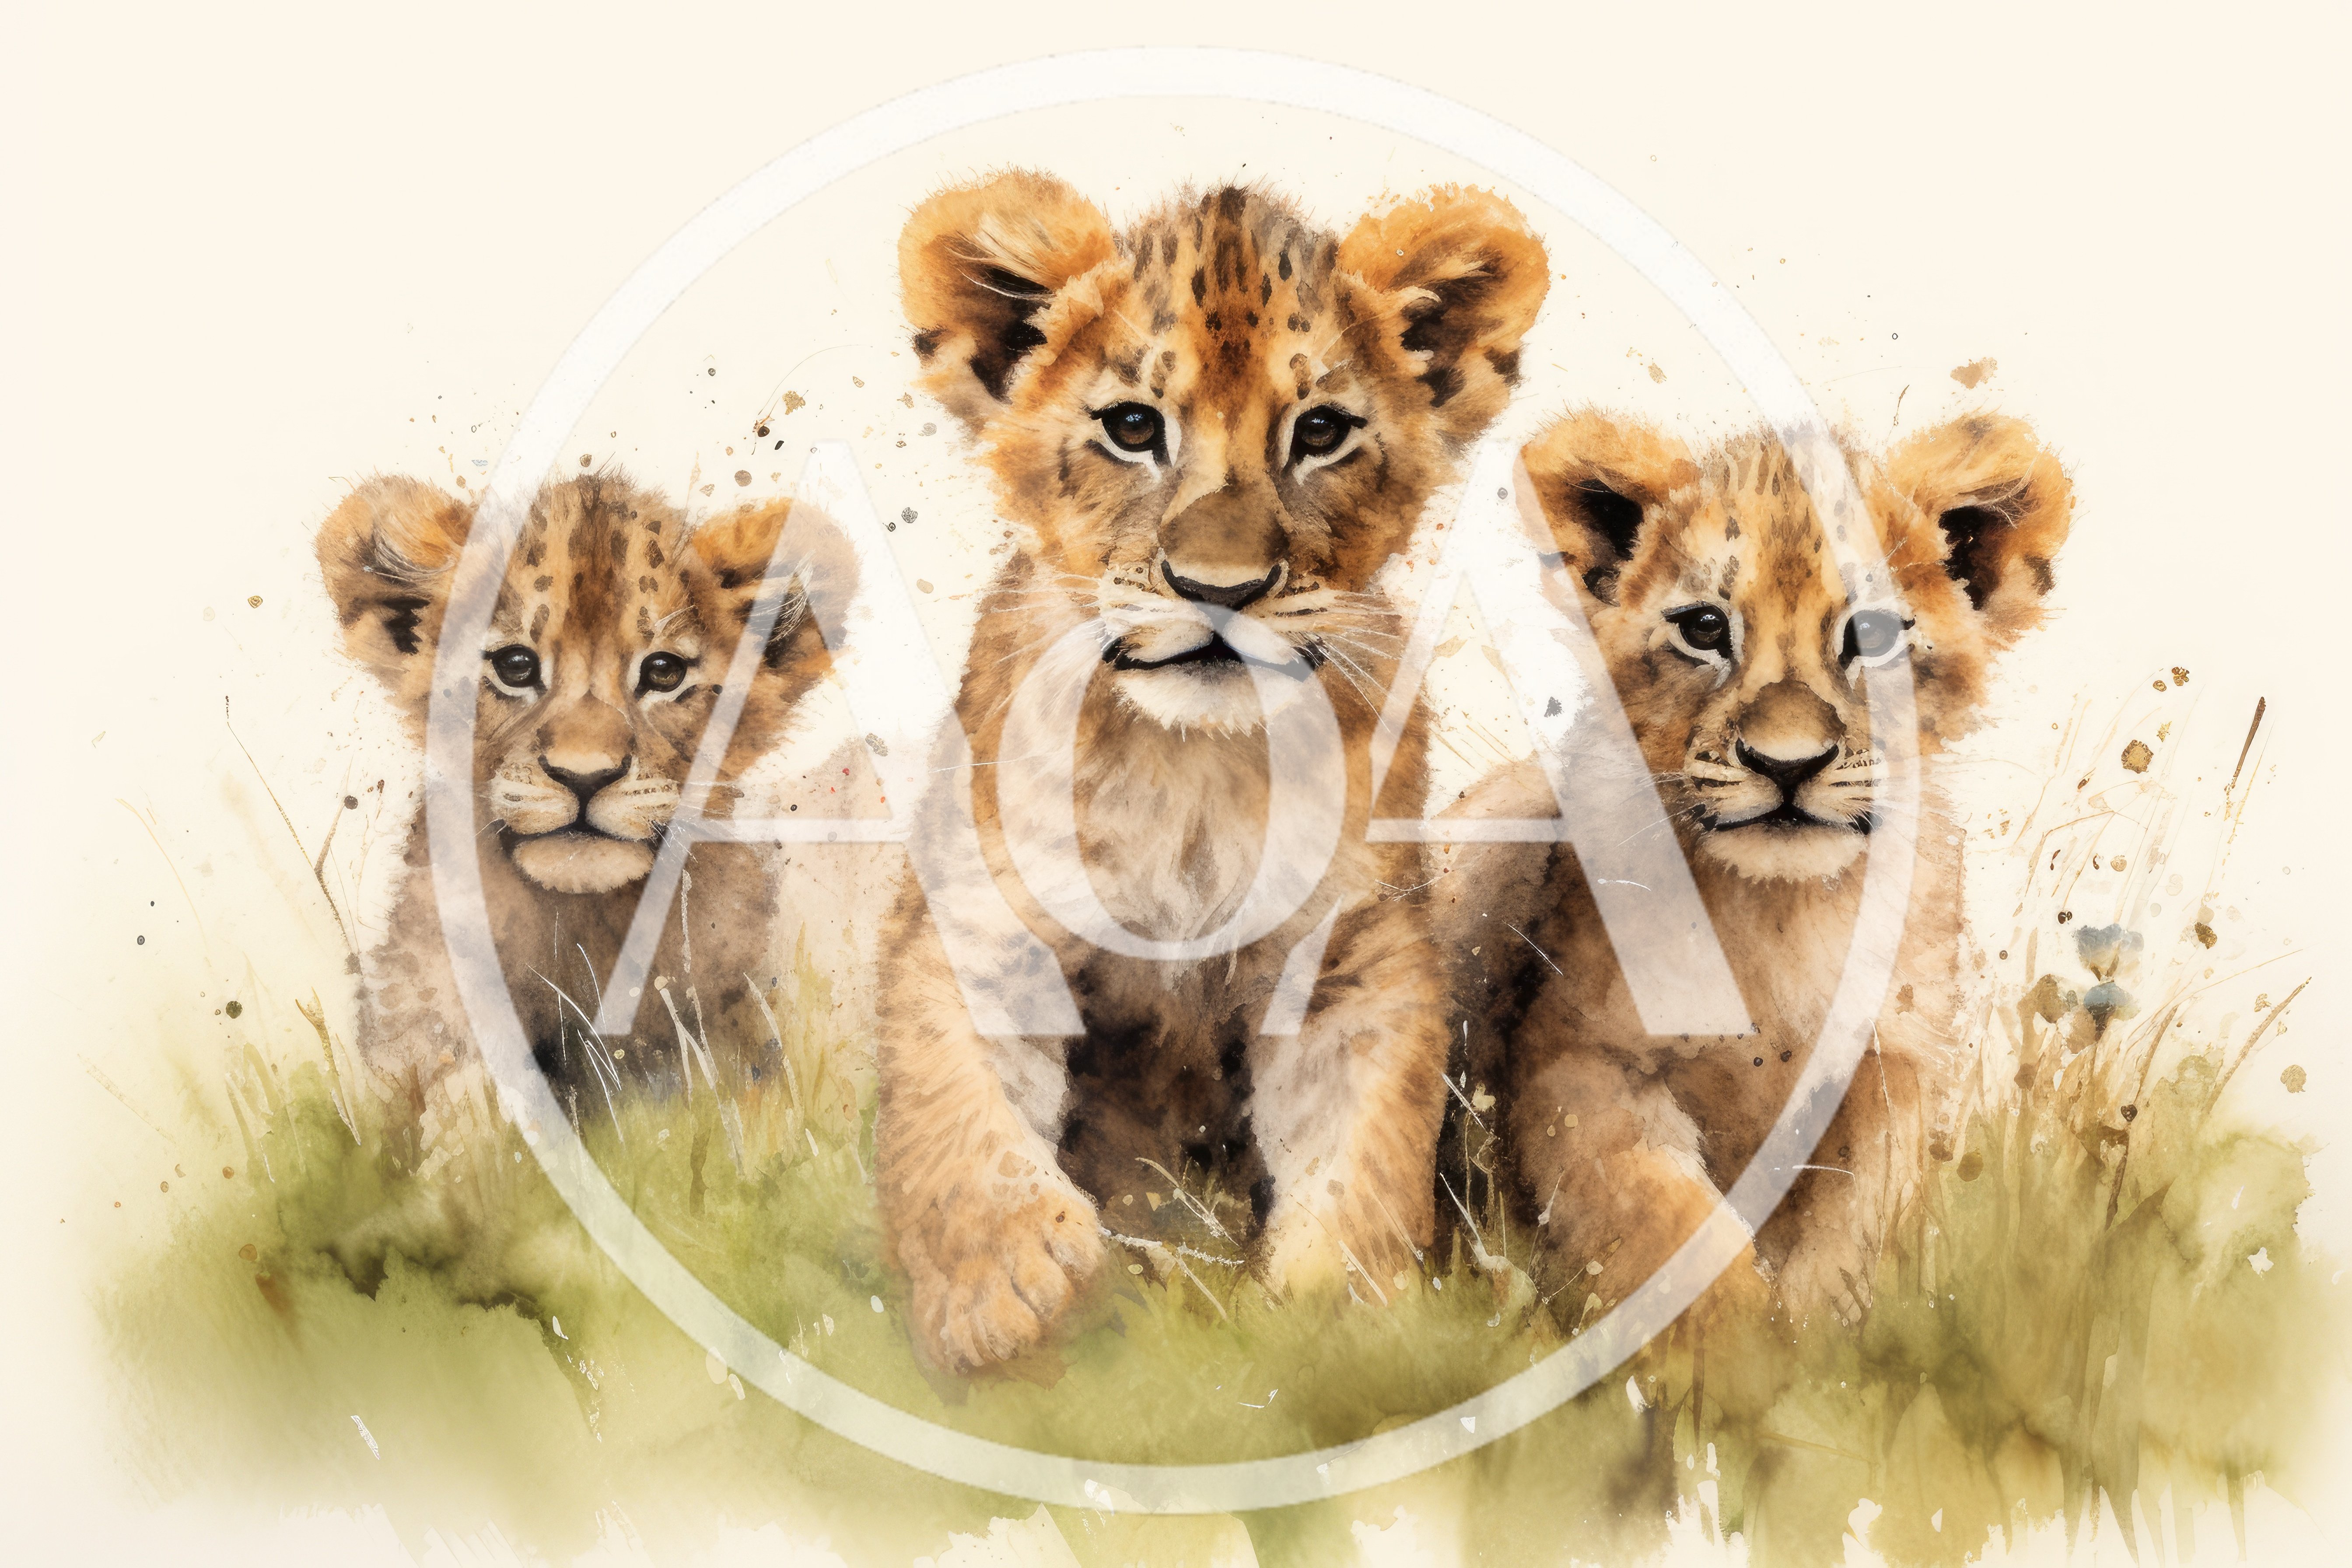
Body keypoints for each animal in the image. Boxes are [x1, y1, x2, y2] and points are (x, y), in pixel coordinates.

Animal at [878, 175, 1550, 1369]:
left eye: (1321, 431)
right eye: (1133, 427)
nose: (1219, 589)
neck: (1189, 768)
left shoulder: (1351, 954)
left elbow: (1360, 1146)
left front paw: (1346, 1323)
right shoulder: (980, 917)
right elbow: (955, 1111)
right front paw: (1006, 1293)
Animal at [1431, 411, 2074, 1326]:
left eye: (1872, 635)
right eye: (1705, 628)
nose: (1787, 763)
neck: (1779, 915)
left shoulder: (1890, 1067)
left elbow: (1852, 1232)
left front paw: (1813, 1342)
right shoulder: (1578, 1058)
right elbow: (1668, 1224)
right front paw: (1728, 1353)